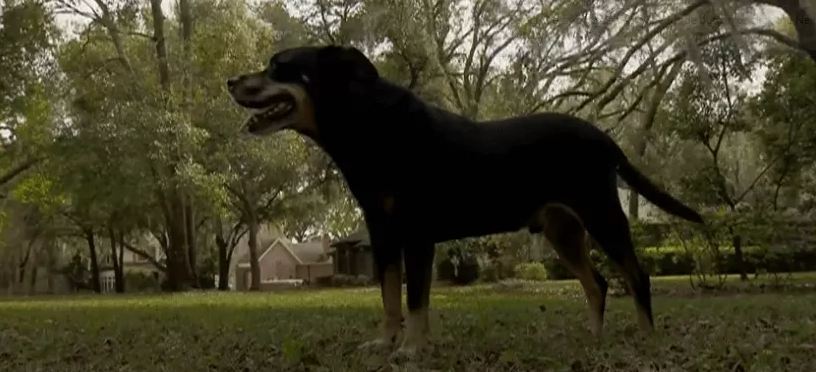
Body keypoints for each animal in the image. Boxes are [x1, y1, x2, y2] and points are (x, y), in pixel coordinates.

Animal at [226, 45, 704, 358]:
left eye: (279, 67)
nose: (231, 81)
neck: (369, 126)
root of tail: (604, 139)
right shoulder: (383, 235)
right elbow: (388, 295)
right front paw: (385, 341)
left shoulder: (416, 234)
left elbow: (415, 299)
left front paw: (412, 348)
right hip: (563, 230)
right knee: (598, 284)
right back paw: (593, 339)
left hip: (601, 214)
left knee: (637, 277)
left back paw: (646, 339)